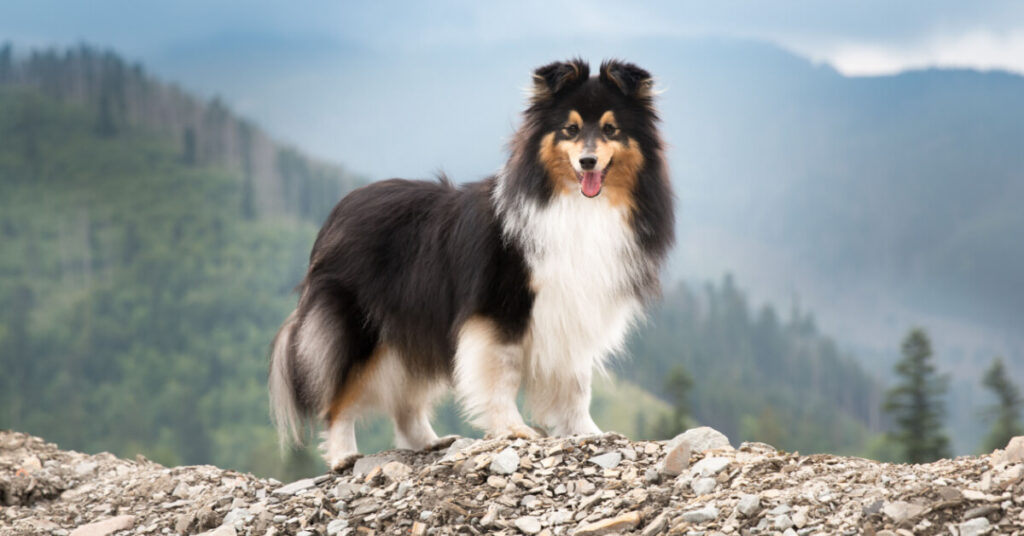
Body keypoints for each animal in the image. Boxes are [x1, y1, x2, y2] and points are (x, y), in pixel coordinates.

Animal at [268, 58, 675, 469]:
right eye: (571, 129)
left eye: (610, 129)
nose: (587, 161)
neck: (576, 205)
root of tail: (338, 212)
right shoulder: (500, 310)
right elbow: (503, 375)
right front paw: (514, 429)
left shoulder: (573, 312)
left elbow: (576, 384)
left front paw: (590, 432)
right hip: (359, 328)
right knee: (338, 397)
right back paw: (343, 456)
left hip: (413, 324)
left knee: (407, 398)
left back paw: (430, 442)